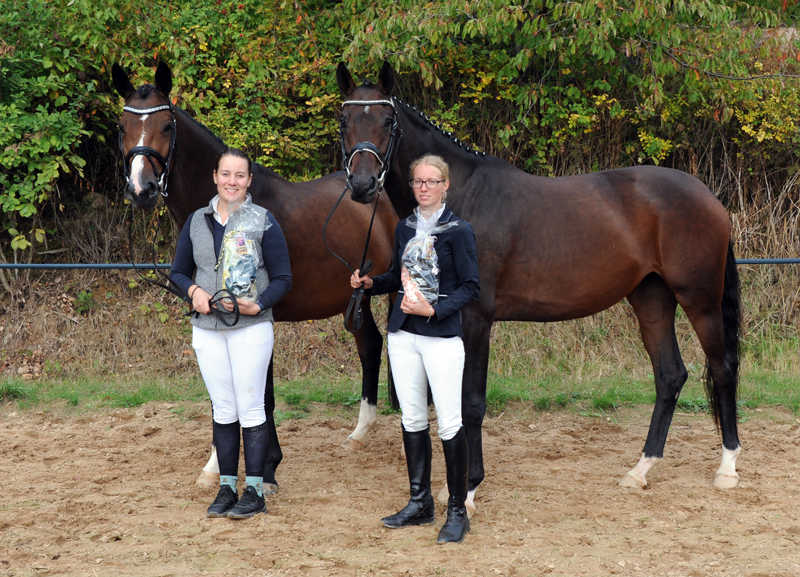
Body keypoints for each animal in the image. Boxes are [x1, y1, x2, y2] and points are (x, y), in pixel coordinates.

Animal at [111, 64, 398, 490]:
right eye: (123, 125)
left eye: (165, 125)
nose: (141, 189)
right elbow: (227, 394)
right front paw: (219, 465)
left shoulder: (259, 314)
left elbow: (260, 394)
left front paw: (266, 468)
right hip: (354, 298)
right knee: (371, 345)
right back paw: (359, 433)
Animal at [336, 62, 744, 512]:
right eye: (344, 120)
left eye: (387, 121)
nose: (362, 184)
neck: (462, 200)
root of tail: (708, 197)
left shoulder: (476, 320)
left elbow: (471, 403)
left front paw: (470, 489)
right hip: (652, 299)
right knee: (670, 375)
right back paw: (640, 470)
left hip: (700, 300)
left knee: (723, 368)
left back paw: (727, 470)